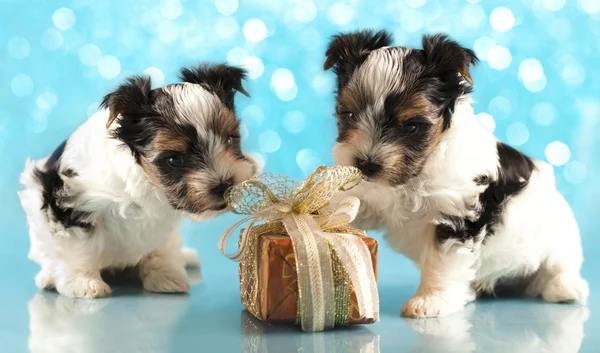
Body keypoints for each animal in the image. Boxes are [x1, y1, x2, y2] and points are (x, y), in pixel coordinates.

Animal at [18, 62, 258, 296]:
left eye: (230, 140)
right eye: (174, 160)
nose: (224, 185)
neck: (146, 180)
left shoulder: (160, 222)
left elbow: (160, 247)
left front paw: (166, 276)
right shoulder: (70, 202)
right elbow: (80, 247)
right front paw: (84, 283)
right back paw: (49, 277)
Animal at [326, 29, 588, 316]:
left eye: (411, 127)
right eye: (350, 115)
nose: (366, 163)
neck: (417, 172)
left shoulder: (457, 213)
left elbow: (441, 260)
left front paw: (429, 300)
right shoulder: (377, 193)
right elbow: (357, 204)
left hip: (559, 237)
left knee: (558, 265)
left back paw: (564, 288)